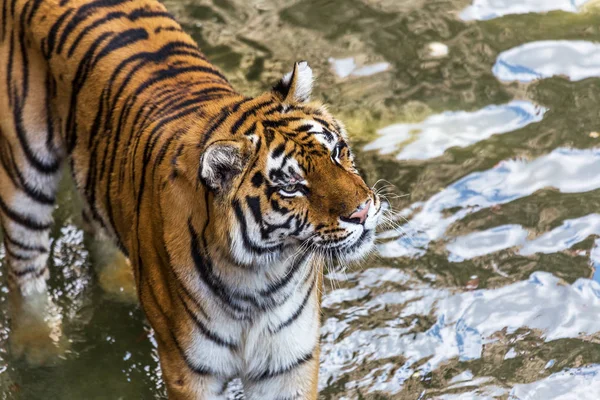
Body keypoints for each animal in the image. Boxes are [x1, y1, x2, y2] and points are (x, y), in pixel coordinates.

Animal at [0, 0, 382, 398]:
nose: (362, 212)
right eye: (291, 186)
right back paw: (38, 346)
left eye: (337, 152)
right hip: (26, 169)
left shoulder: (288, 364)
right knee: (23, 264)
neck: (261, 281)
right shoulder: (189, 370)